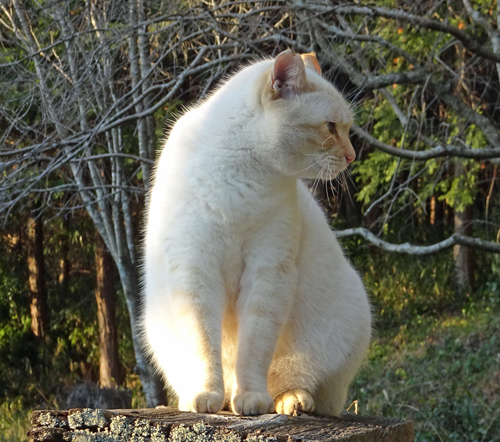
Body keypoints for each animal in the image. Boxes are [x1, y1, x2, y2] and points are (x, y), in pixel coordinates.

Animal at [142, 50, 372, 416]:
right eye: (330, 127)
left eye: (347, 129)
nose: (351, 156)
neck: (242, 174)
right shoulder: (195, 270)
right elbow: (205, 346)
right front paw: (205, 397)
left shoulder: (267, 273)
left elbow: (253, 351)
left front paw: (250, 400)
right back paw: (214, 400)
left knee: (298, 386)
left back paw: (289, 402)